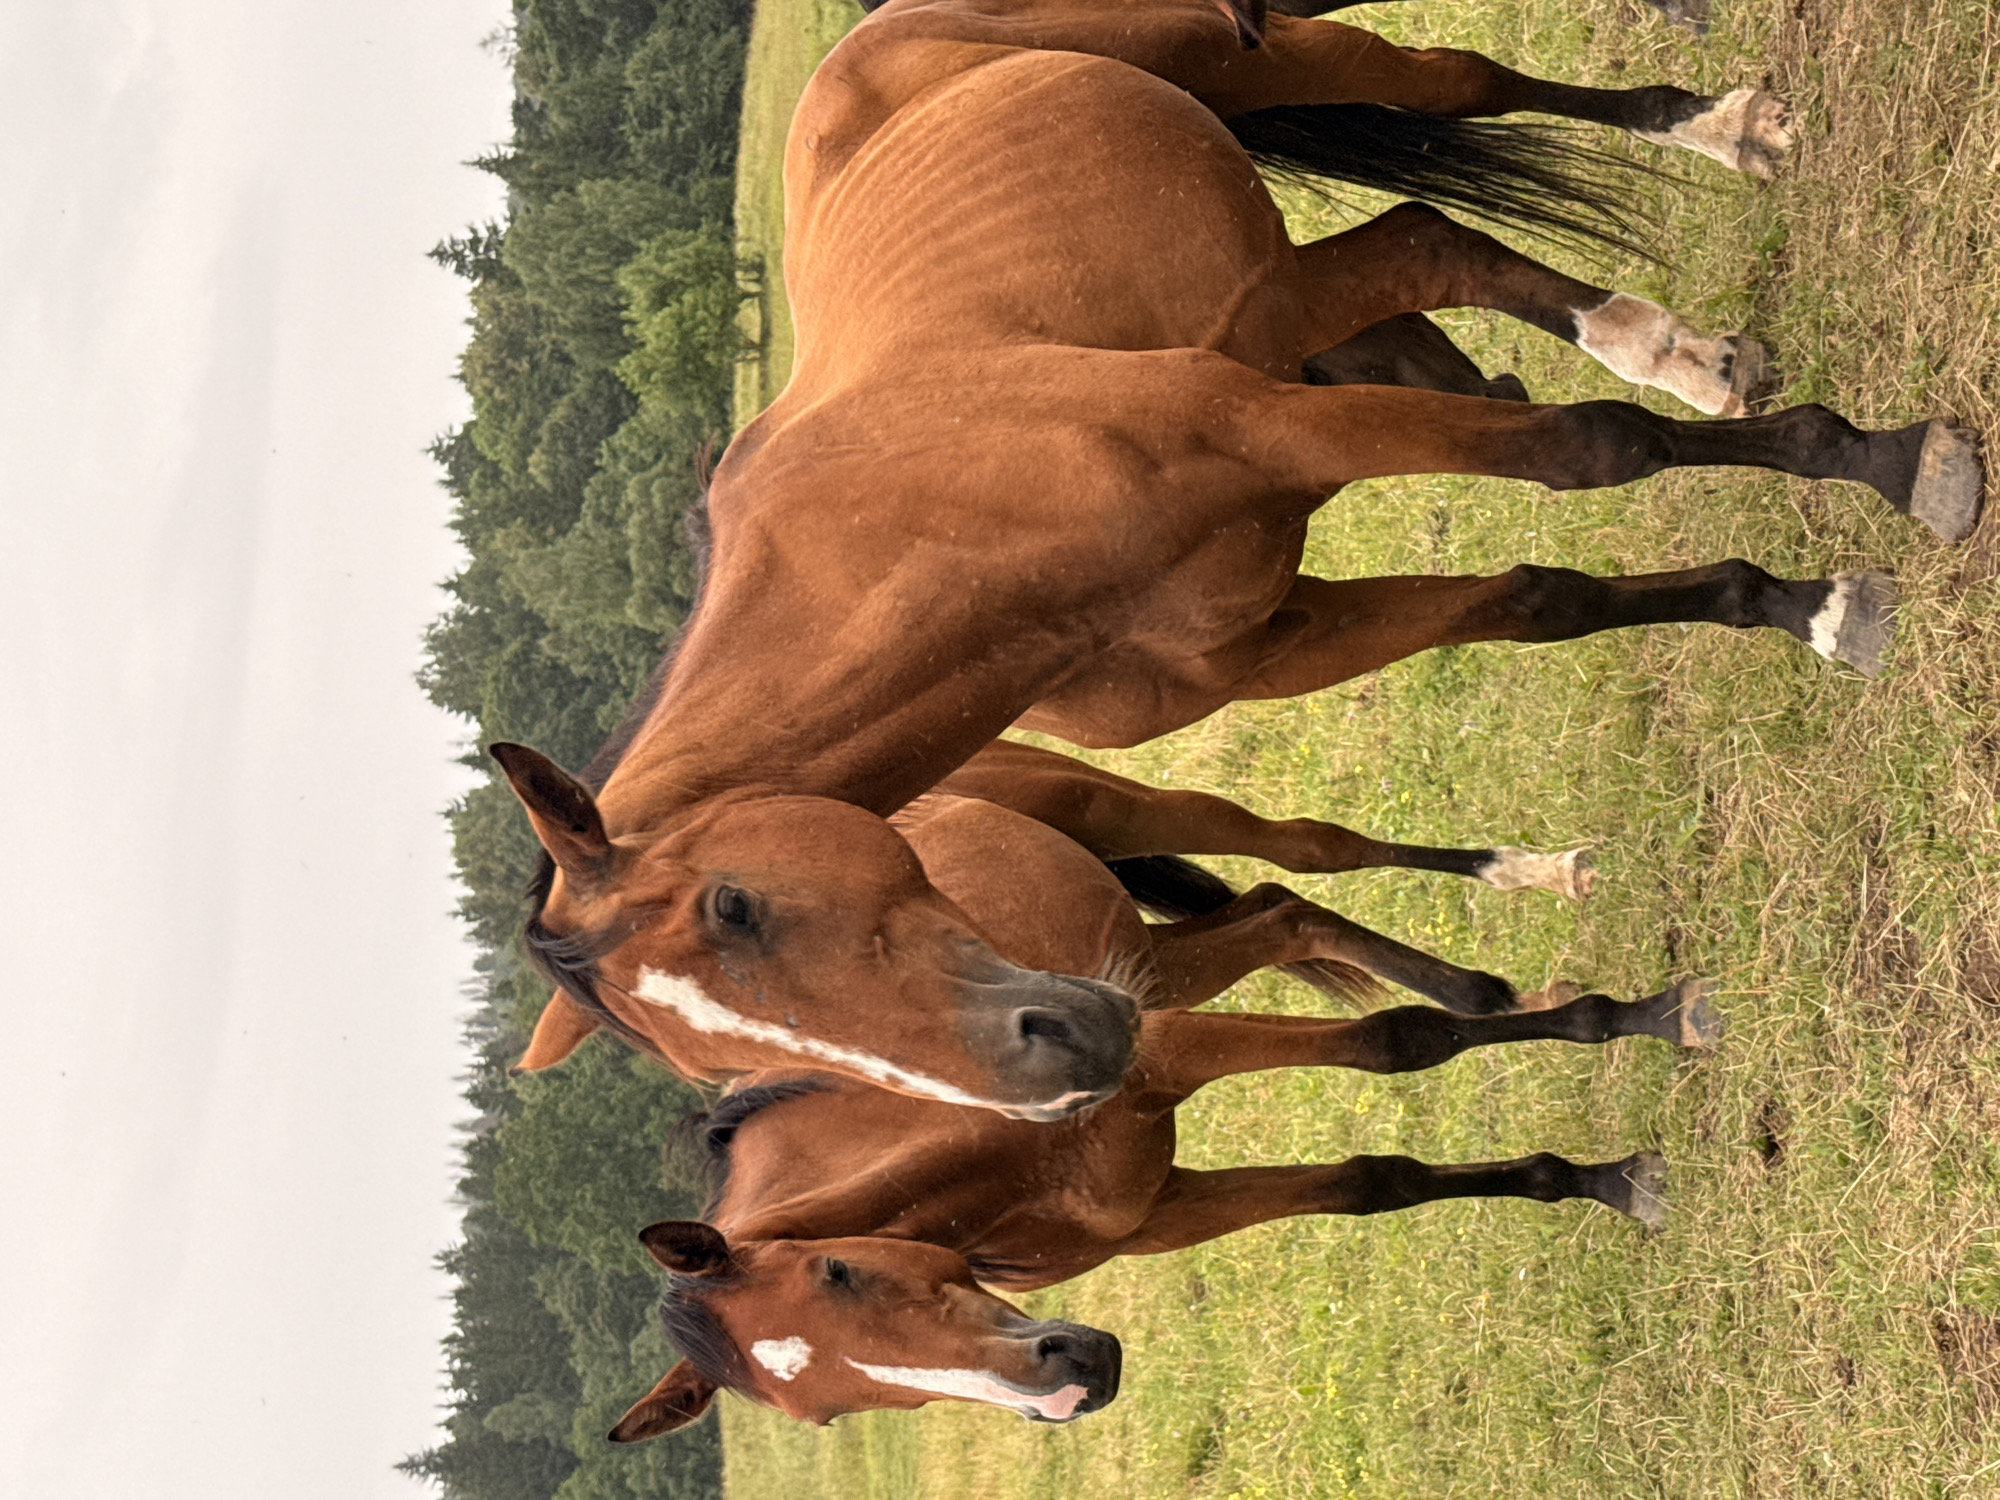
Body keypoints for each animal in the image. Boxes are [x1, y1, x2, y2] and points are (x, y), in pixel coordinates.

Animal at [489, 0, 1982, 1122]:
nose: (1065, 1070)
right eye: (722, 1065)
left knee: (1457, 88)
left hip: (1239, 69)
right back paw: (1675, 338)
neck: (942, 521)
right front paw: (1784, 592)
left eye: (737, 907)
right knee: (1428, 241)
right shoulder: (1279, 630)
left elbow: (1586, 452)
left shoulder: (1277, 425)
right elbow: (1535, 602)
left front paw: (1884, 480)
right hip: (1278, 292)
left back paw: (1719, 137)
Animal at [598, 790, 1718, 1438]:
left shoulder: (1161, 1050)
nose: (1068, 1388)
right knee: (1282, 915)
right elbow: (1373, 1185)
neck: (991, 1153)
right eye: (828, 1413)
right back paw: (1483, 986)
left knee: (1307, 858)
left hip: (1146, 853)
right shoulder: (1164, 1211)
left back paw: (1536, 887)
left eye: (840, 1270)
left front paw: (1653, 1020)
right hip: (1150, 954)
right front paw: (1599, 1177)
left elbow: (1399, 1043)